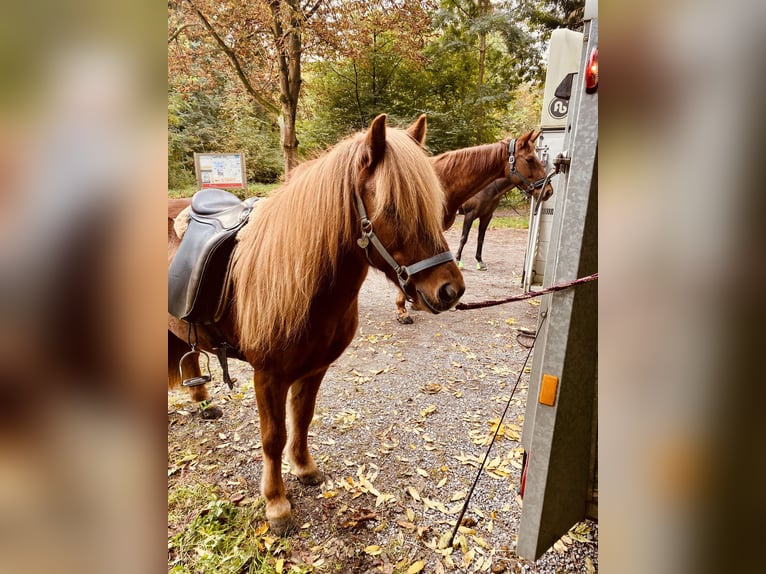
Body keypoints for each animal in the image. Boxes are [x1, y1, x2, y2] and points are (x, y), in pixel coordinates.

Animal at [168, 114, 465, 534]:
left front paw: (304, 468)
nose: (450, 291)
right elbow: (273, 437)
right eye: (391, 208)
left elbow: (303, 419)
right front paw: (276, 503)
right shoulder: (268, 376)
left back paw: (203, 403)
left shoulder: (315, 368)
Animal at [395, 130, 553, 323]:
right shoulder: (466, 216)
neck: (444, 182)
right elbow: (462, 239)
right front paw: (402, 310)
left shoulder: (485, 216)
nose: (548, 191)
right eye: (530, 159)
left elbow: (479, 239)